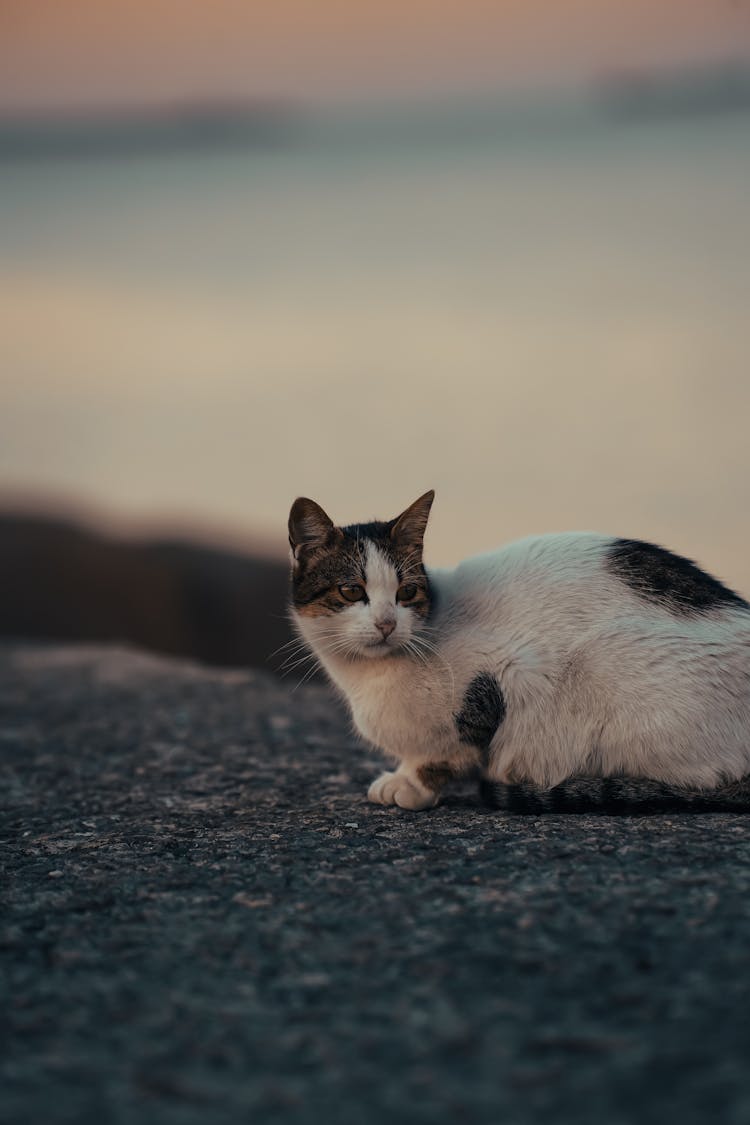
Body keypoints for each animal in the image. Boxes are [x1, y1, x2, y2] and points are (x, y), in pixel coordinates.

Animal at [285, 492, 750, 810]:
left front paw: (412, 785)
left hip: (607, 665)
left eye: (407, 592)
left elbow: (446, 751)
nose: (386, 623)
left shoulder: (510, 672)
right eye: (351, 591)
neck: (367, 677)